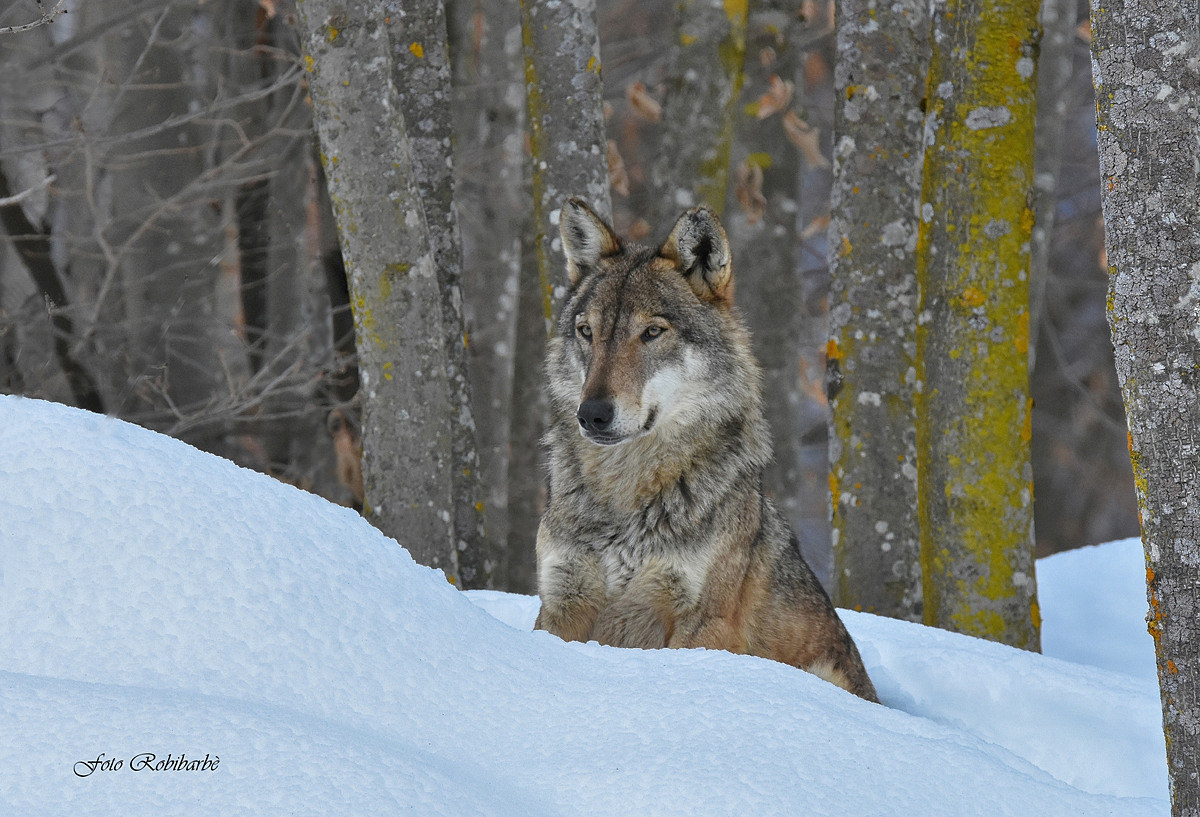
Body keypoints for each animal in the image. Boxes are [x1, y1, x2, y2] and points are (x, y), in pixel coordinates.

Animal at [533, 198, 879, 703]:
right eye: (586, 332)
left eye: (652, 332)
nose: (591, 414)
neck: (626, 496)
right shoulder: (560, 604)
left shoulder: (702, 623)